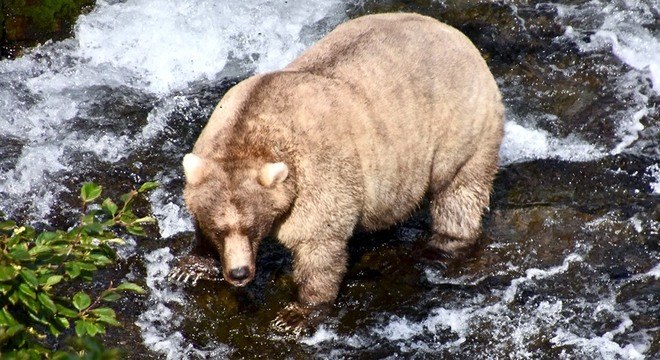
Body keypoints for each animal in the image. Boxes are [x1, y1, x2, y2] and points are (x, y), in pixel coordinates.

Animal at [173, 12, 502, 334]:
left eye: (253, 227)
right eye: (219, 229)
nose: (240, 273)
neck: (251, 130)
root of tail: (457, 36)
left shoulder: (319, 179)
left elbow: (319, 248)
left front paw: (296, 315)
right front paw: (190, 267)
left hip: (460, 128)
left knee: (458, 194)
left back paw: (441, 247)